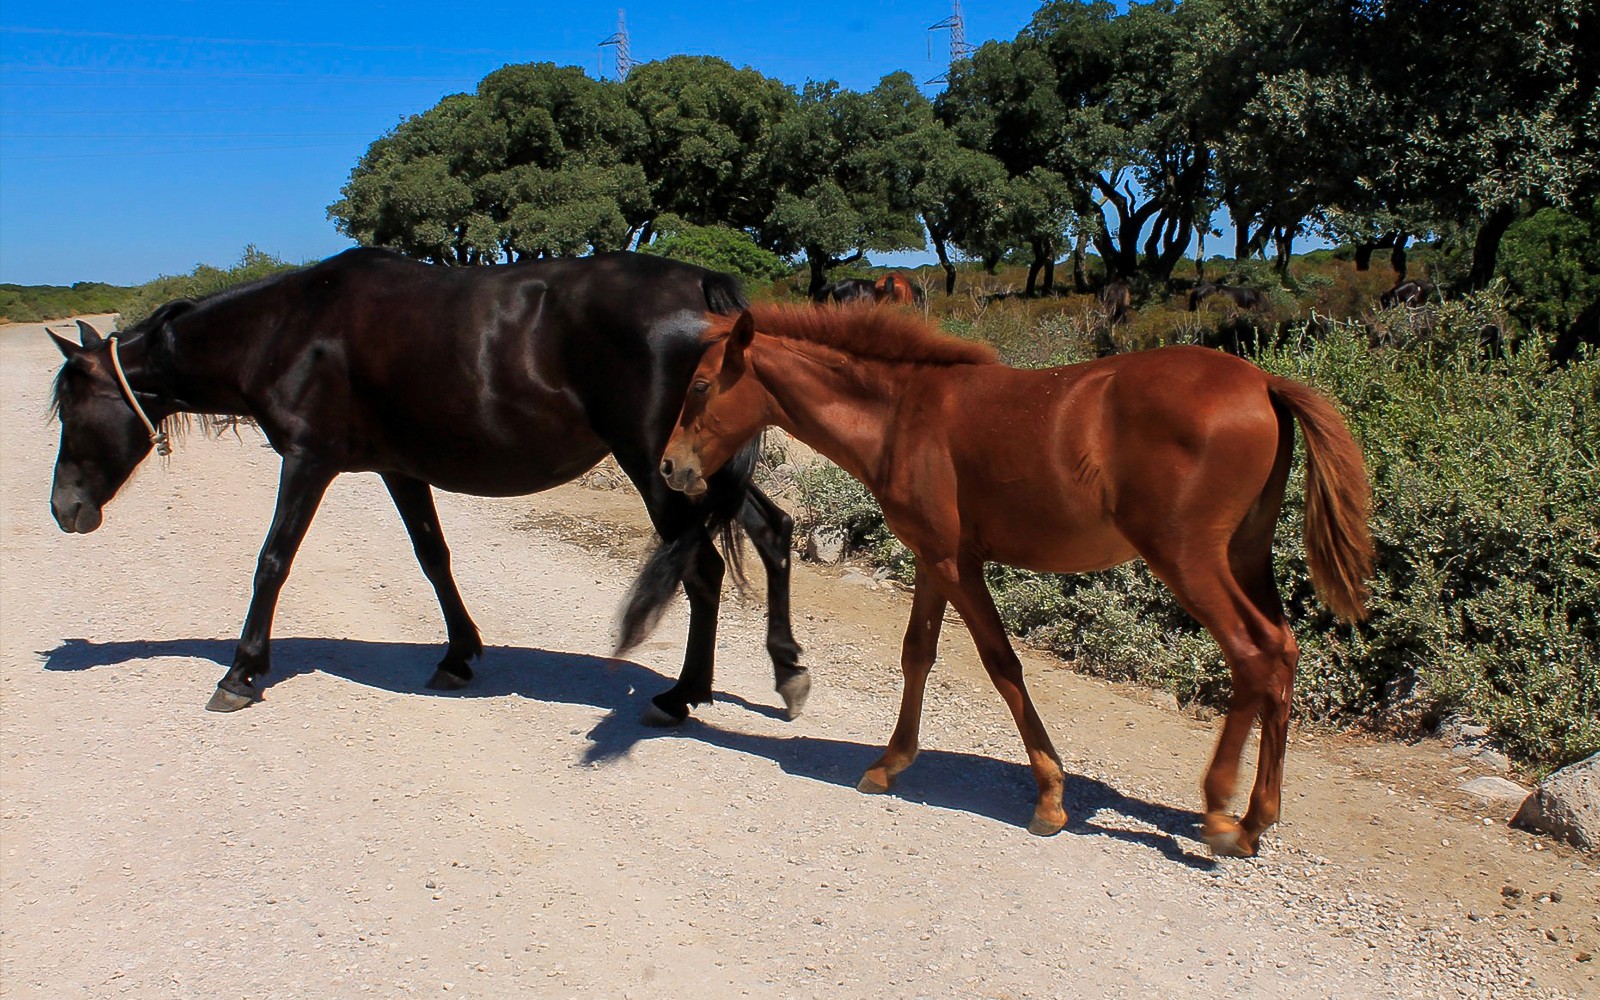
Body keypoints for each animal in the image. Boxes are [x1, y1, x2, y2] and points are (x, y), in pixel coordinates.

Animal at [48, 248, 808, 724]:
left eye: (73, 408)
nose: (64, 509)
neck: (289, 328)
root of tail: (702, 290)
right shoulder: (400, 468)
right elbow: (432, 557)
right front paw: (458, 655)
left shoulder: (308, 460)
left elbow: (273, 561)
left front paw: (240, 673)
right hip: (696, 470)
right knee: (772, 533)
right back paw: (785, 673)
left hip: (656, 467)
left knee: (702, 568)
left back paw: (683, 696)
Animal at [658, 305, 1373, 857]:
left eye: (700, 386)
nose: (669, 467)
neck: (900, 412)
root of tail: (1265, 382)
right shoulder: (933, 559)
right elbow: (917, 654)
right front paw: (889, 763)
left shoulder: (957, 564)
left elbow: (1001, 664)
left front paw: (1051, 798)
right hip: (1245, 557)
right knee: (1283, 653)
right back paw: (1255, 819)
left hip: (1189, 561)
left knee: (1254, 656)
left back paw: (1221, 812)